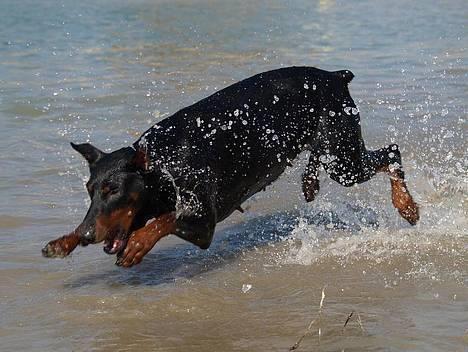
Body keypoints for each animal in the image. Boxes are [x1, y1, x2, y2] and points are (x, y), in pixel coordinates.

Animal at [42, 66, 418, 266]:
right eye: (91, 190)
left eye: (113, 190)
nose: (88, 235)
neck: (163, 167)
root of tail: (335, 76)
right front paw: (64, 240)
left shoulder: (204, 220)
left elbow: (165, 220)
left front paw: (137, 244)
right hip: (330, 147)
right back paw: (310, 182)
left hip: (344, 159)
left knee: (392, 153)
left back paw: (407, 206)